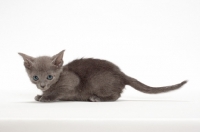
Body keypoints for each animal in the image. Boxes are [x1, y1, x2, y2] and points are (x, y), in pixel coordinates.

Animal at [18, 50, 188, 102]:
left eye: (49, 77)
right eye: (35, 77)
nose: (42, 85)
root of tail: (122, 74)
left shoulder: (72, 81)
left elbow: (58, 91)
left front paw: (45, 97)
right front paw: (40, 95)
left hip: (98, 82)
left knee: (116, 95)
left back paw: (96, 98)